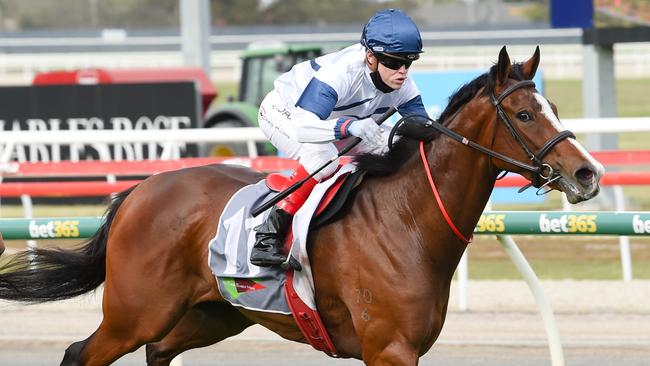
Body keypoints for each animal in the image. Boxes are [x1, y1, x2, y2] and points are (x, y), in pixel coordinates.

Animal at [0, 46, 604, 366]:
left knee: (159, 352)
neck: (408, 222)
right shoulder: (390, 349)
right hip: (134, 312)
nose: (588, 174)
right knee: (81, 353)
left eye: (552, 104)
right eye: (523, 115)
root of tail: (138, 192)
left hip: (211, 313)